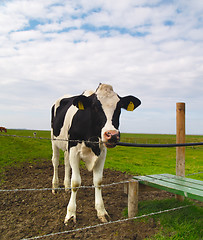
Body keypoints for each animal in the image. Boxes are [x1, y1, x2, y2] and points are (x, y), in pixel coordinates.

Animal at [50, 83, 141, 224]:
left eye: (119, 108)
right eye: (95, 107)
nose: (112, 135)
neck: (91, 140)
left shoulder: (102, 152)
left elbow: (98, 181)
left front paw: (101, 211)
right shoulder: (74, 150)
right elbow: (76, 182)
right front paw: (70, 213)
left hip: (66, 146)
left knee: (66, 163)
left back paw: (66, 186)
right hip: (54, 139)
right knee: (55, 161)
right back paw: (55, 187)